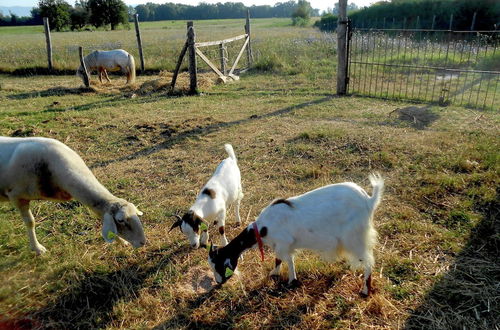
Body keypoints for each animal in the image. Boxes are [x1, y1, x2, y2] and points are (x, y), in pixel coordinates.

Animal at [0, 137, 147, 255]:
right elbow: (30, 222)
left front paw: (121, 241)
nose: (143, 242)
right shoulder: (17, 196)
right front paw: (37, 248)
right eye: (120, 220)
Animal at [209, 174, 384, 298]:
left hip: (355, 237)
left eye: (219, 266)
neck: (263, 228)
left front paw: (291, 281)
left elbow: (288, 261)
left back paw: (365, 291)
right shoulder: (280, 245)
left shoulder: (284, 243)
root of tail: (368, 201)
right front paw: (274, 274)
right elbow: (278, 259)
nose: (218, 283)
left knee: (369, 261)